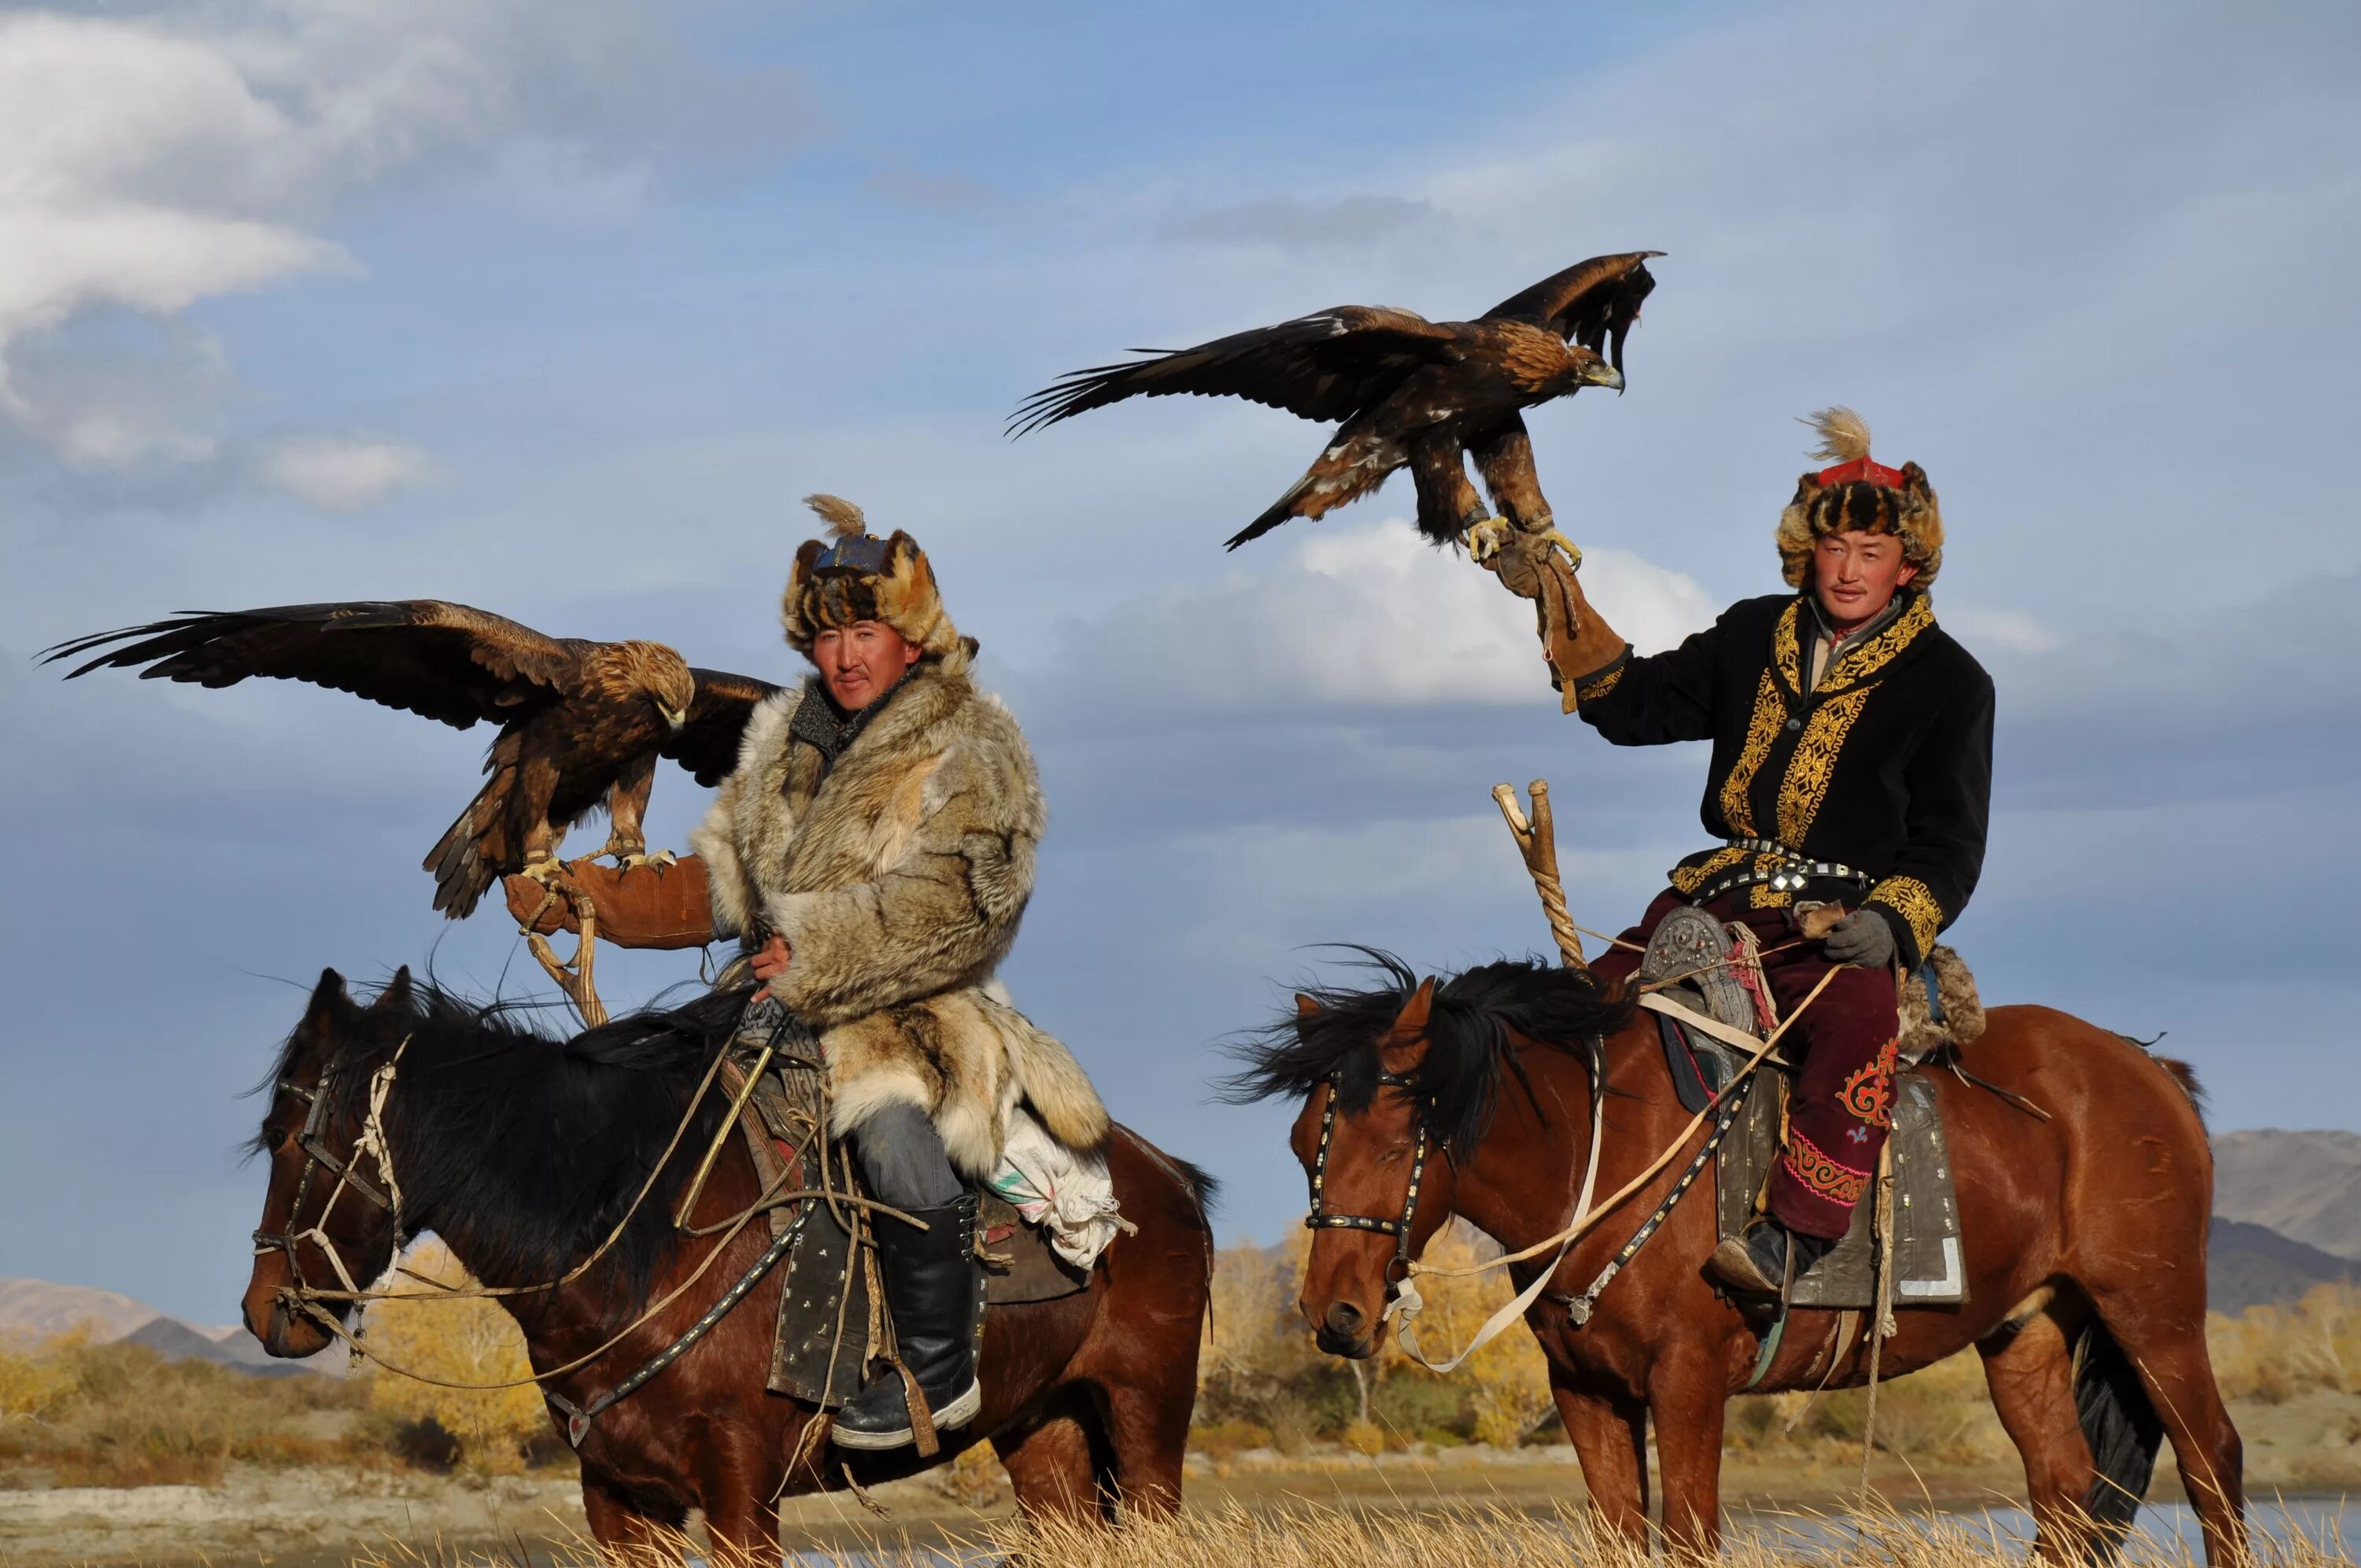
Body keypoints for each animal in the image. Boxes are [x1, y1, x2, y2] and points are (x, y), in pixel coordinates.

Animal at [242, 968, 1218, 1558]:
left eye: (289, 1135)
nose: (263, 1311)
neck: (638, 1250)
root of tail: (1169, 1174)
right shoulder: (619, 1496)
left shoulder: (742, 1488)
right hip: (1043, 1428)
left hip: (1146, 1416)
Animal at [1237, 949, 2248, 1558]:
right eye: (1297, 1140)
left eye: (1397, 1136)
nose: (1335, 1313)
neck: (1601, 1154)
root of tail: (2145, 1067)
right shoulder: (1588, 1392)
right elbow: (1621, 1535)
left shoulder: (1687, 1384)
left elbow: (1688, 1534)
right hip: (2025, 1331)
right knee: (2068, 1489)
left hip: (2153, 1314)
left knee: (2212, 1462)